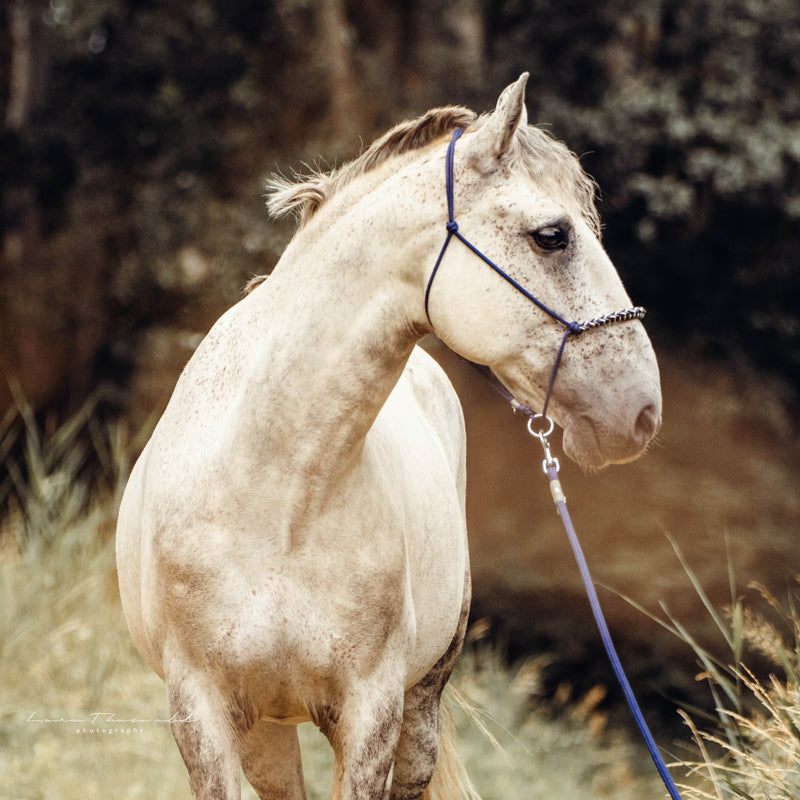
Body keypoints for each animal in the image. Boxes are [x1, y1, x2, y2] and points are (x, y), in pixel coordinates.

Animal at [114, 72, 664, 796]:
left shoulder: (370, 710)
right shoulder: (202, 712)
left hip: (419, 705)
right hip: (267, 732)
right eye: (552, 236)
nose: (642, 410)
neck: (275, 490)